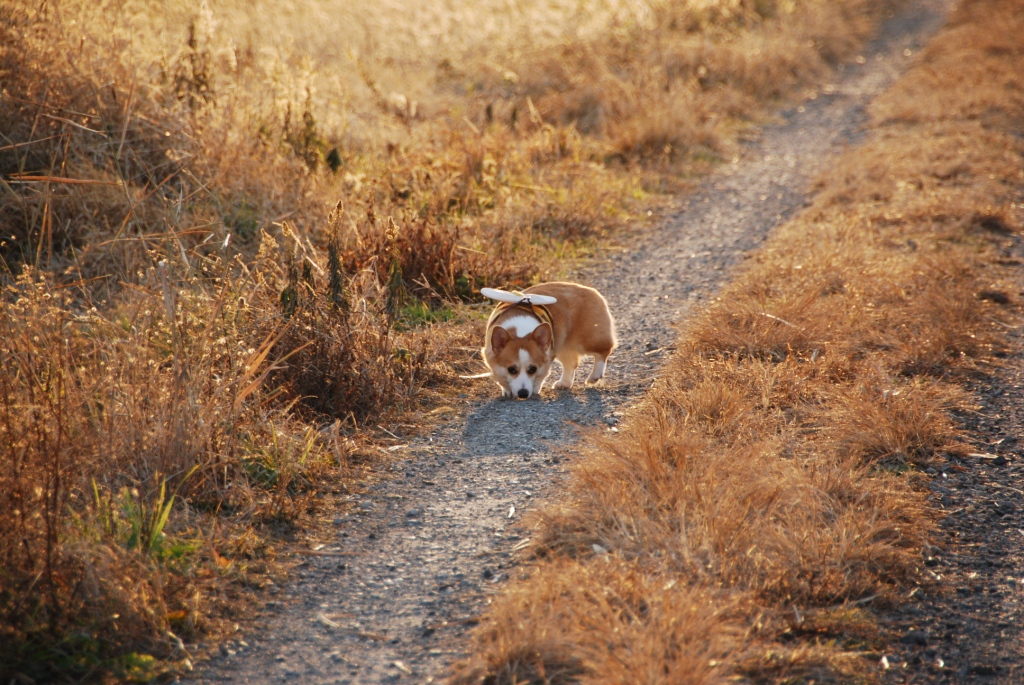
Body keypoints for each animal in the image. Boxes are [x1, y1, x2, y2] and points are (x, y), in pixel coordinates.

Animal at [479, 280, 614, 397]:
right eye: (511, 370)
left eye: (533, 369)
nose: (523, 394)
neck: (520, 332)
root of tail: (593, 291)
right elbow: (501, 378)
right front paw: (507, 390)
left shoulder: (547, 359)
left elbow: (540, 377)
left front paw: (534, 389)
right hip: (562, 346)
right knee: (571, 363)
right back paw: (564, 383)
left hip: (588, 340)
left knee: (604, 350)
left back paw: (594, 376)